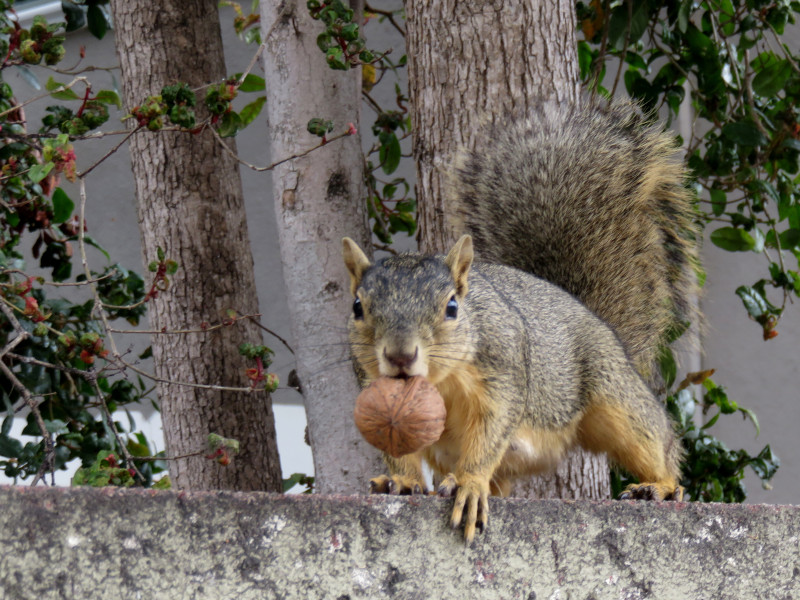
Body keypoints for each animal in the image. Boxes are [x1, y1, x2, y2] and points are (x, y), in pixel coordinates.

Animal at [342, 100, 699, 543]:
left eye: (452, 307)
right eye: (358, 307)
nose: (400, 356)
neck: (439, 382)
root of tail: (592, 316)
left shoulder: (503, 371)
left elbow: (490, 431)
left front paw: (469, 484)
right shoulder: (373, 389)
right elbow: (395, 444)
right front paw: (403, 482)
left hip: (613, 394)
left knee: (655, 441)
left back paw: (659, 486)